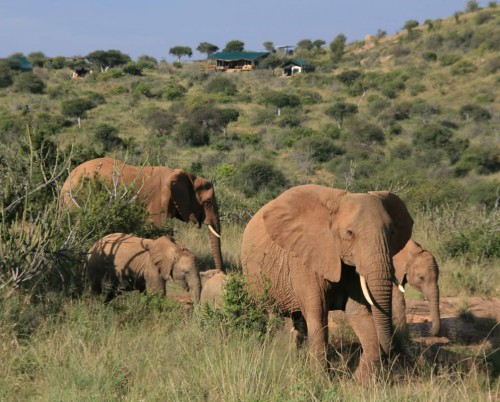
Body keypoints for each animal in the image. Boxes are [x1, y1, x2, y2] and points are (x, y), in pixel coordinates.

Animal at [58, 159, 223, 272]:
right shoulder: (158, 201)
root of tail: (65, 182)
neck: (188, 176)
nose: (221, 273)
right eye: (208, 202)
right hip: (76, 200)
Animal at [240, 185, 412, 384]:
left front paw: (359, 382)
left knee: (298, 321)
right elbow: (318, 312)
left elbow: (358, 313)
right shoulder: (306, 258)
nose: (392, 354)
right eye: (349, 233)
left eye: (392, 233)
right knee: (267, 314)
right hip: (253, 274)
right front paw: (321, 380)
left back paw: (296, 360)